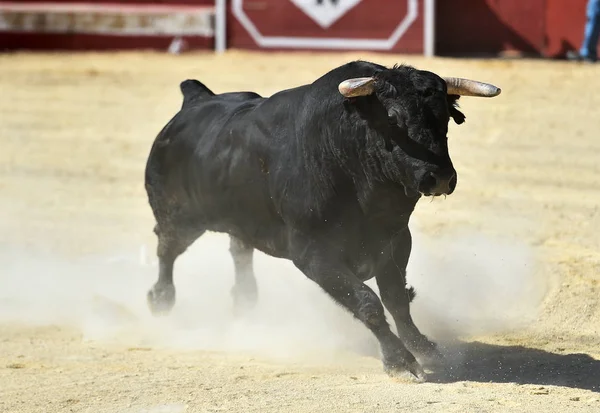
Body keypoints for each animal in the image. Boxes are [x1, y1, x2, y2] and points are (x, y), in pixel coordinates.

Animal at [143, 59, 500, 378]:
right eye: (393, 118)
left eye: (445, 118)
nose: (439, 177)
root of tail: (196, 99)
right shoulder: (313, 254)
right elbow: (368, 302)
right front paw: (400, 362)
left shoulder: (396, 240)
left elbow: (397, 298)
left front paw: (425, 348)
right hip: (179, 217)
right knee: (166, 250)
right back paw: (161, 301)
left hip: (240, 220)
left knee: (239, 250)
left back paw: (244, 303)